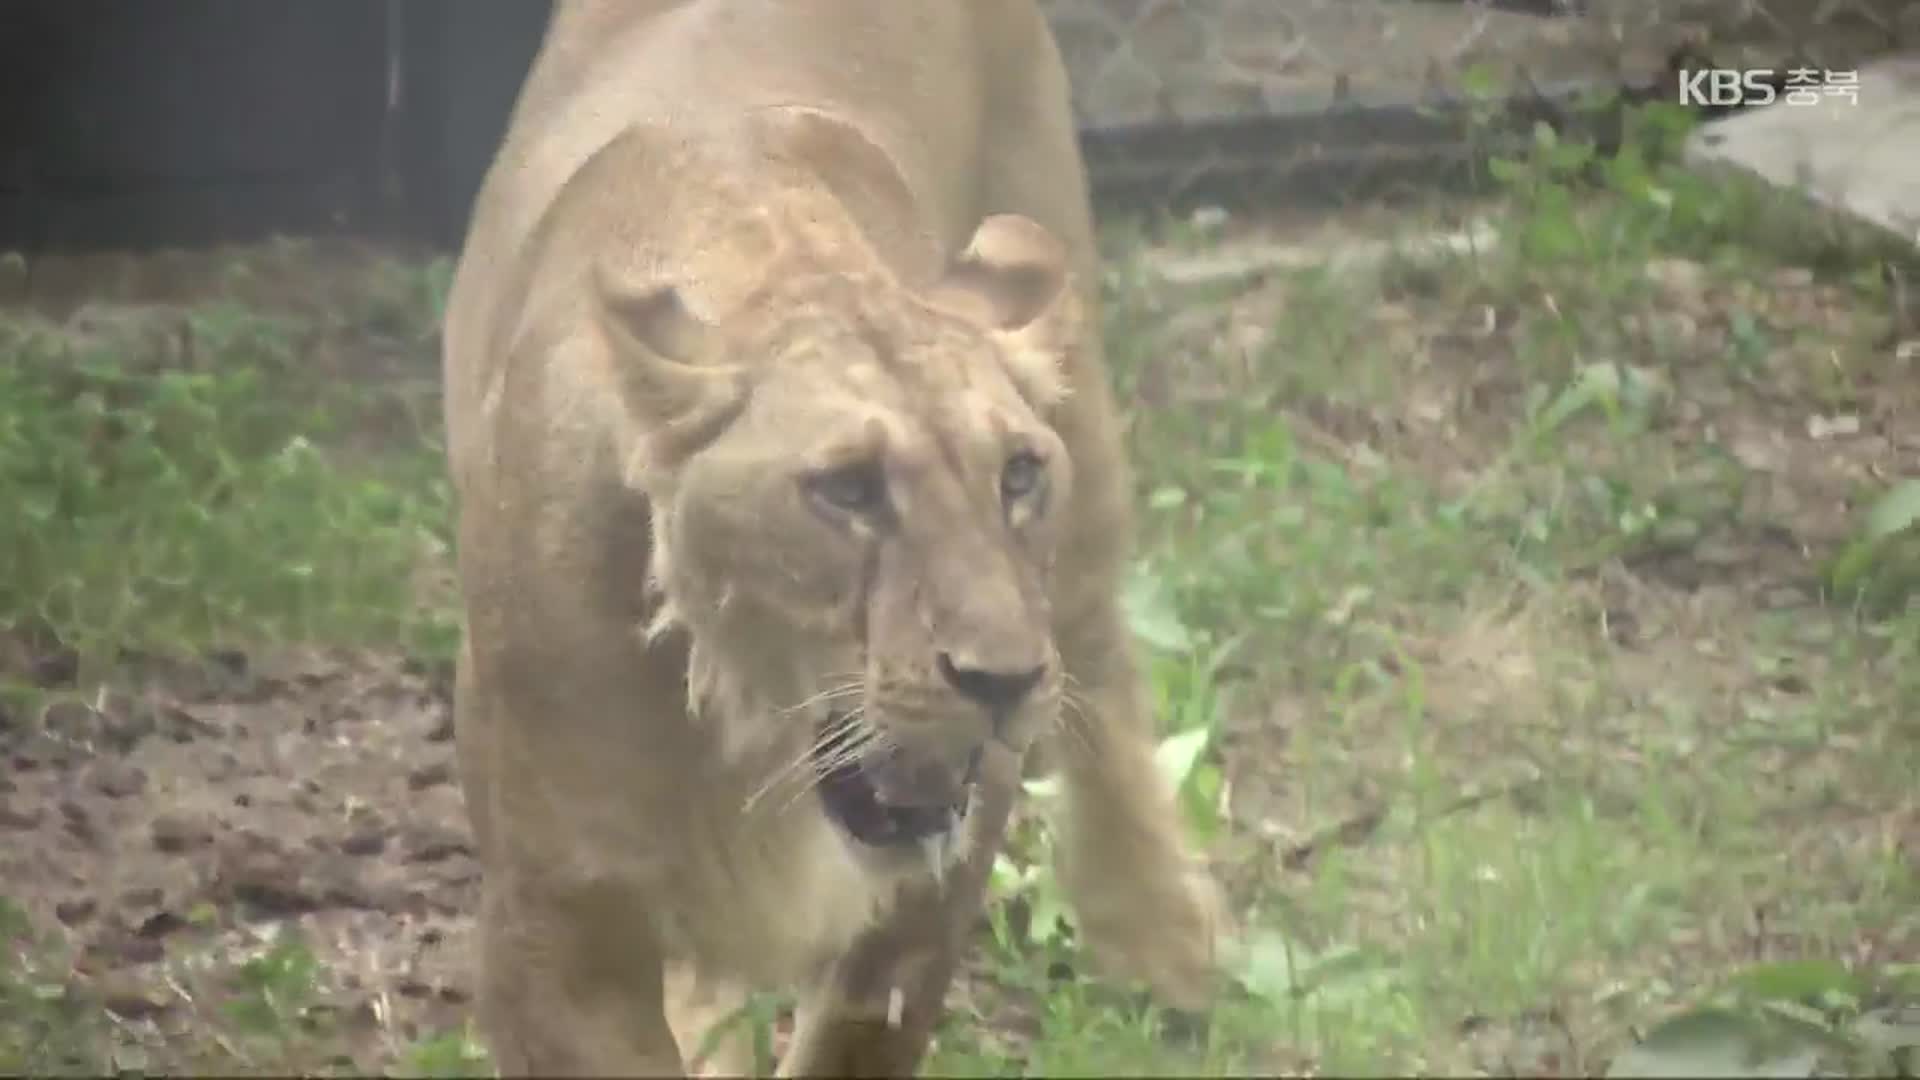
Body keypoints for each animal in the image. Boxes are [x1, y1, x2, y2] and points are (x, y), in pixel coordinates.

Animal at [441, 2, 1221, 1068]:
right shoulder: (551, 926)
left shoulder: (930, 890)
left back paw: (1165, 944)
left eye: (1017, 474)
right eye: (847, 490)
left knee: (1105, 672)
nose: (1004, 681)